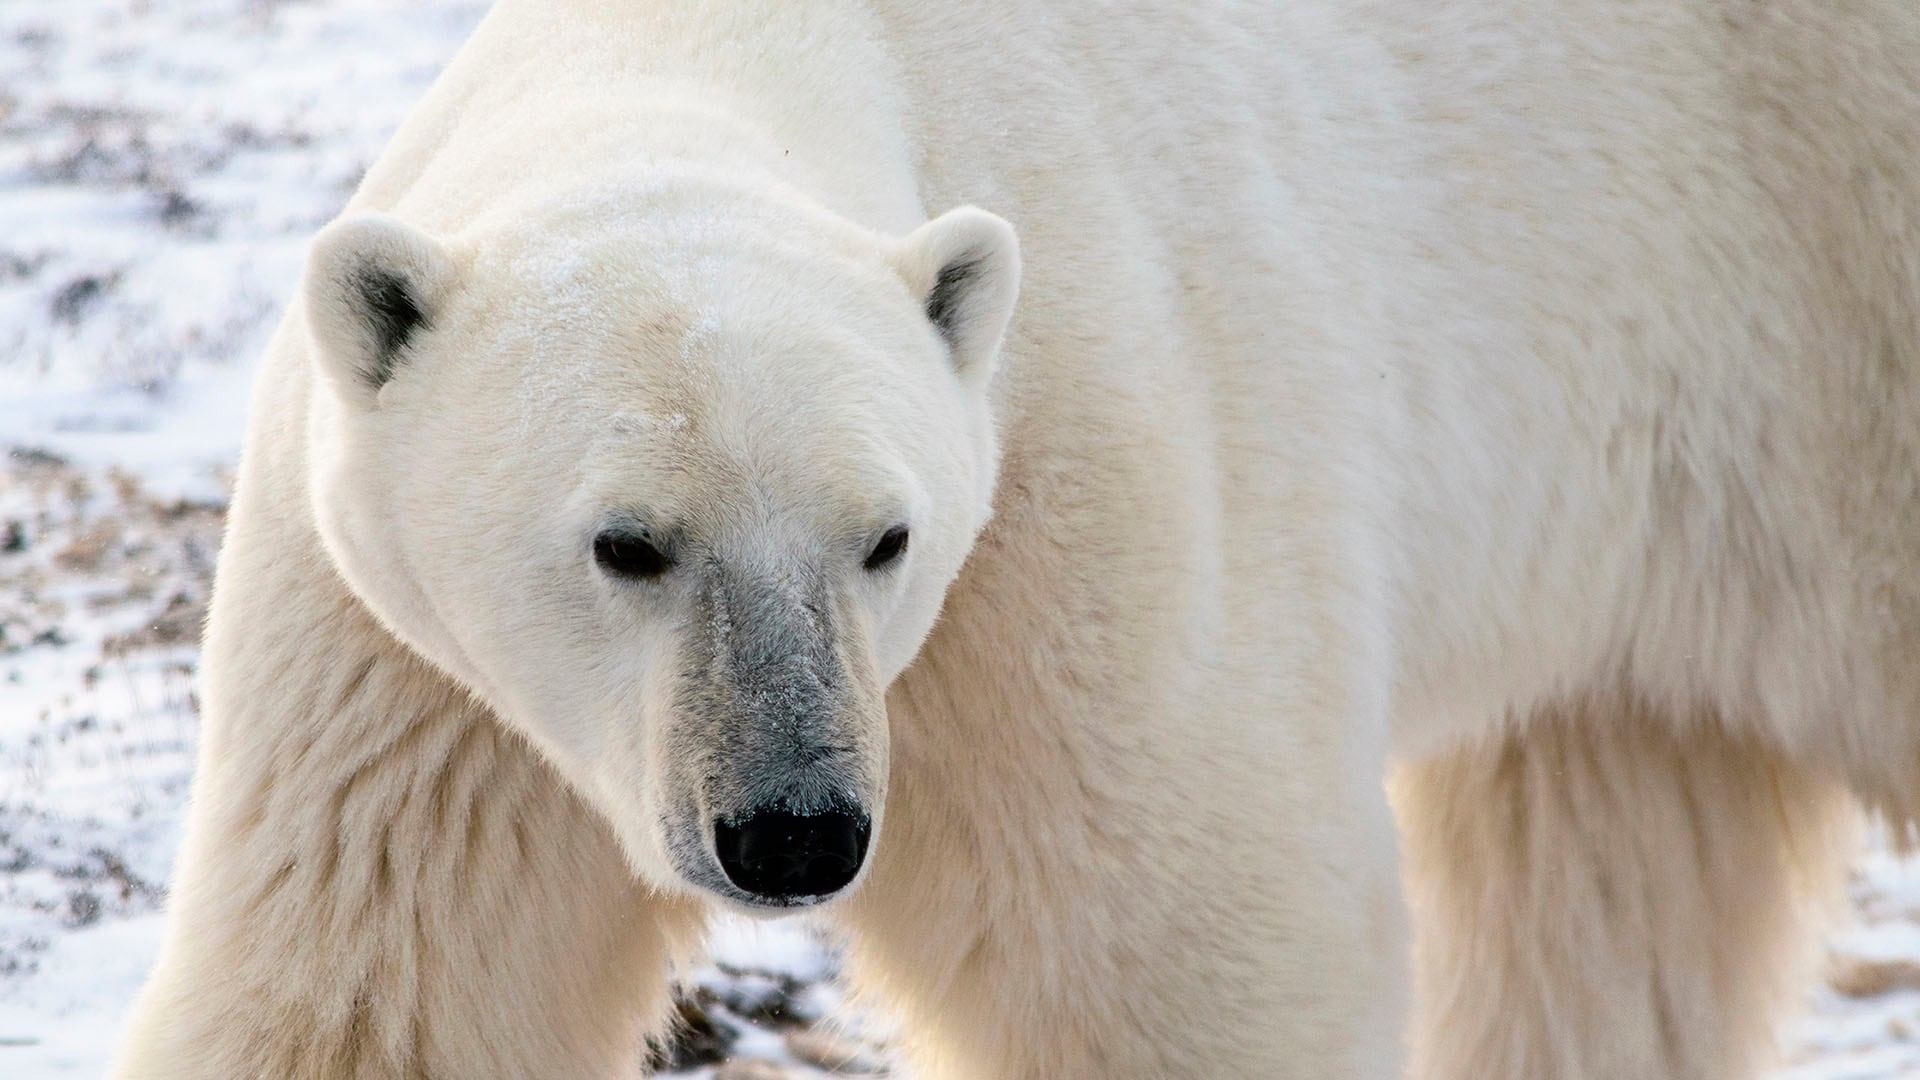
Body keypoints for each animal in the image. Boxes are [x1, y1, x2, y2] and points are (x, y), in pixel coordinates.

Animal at [114, 0, 1920, 1078]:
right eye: (629, 543)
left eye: (886, 538)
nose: (794, 830)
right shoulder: (410, 688)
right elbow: (374, 989)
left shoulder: (1081, 506)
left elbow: (1176, 950)